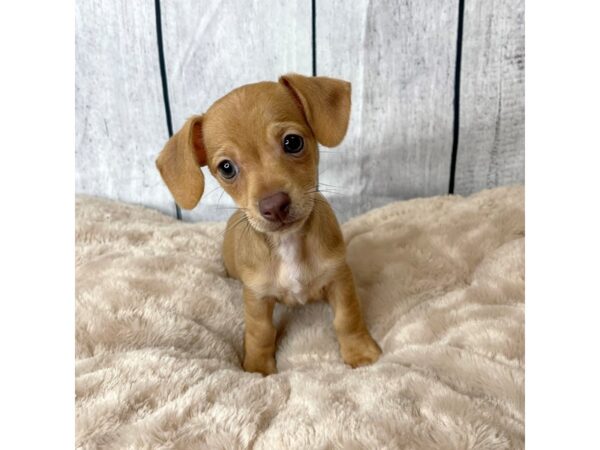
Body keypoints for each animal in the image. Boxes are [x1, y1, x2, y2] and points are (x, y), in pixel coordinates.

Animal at [155, 74, 380, 376]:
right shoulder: (256, 297)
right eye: (226, 168)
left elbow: (347, 317)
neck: (289, 243)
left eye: (292, 142)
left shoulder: (339, 278)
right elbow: (260, 332)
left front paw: (360, 352)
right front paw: (258, 368)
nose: (274, 205)